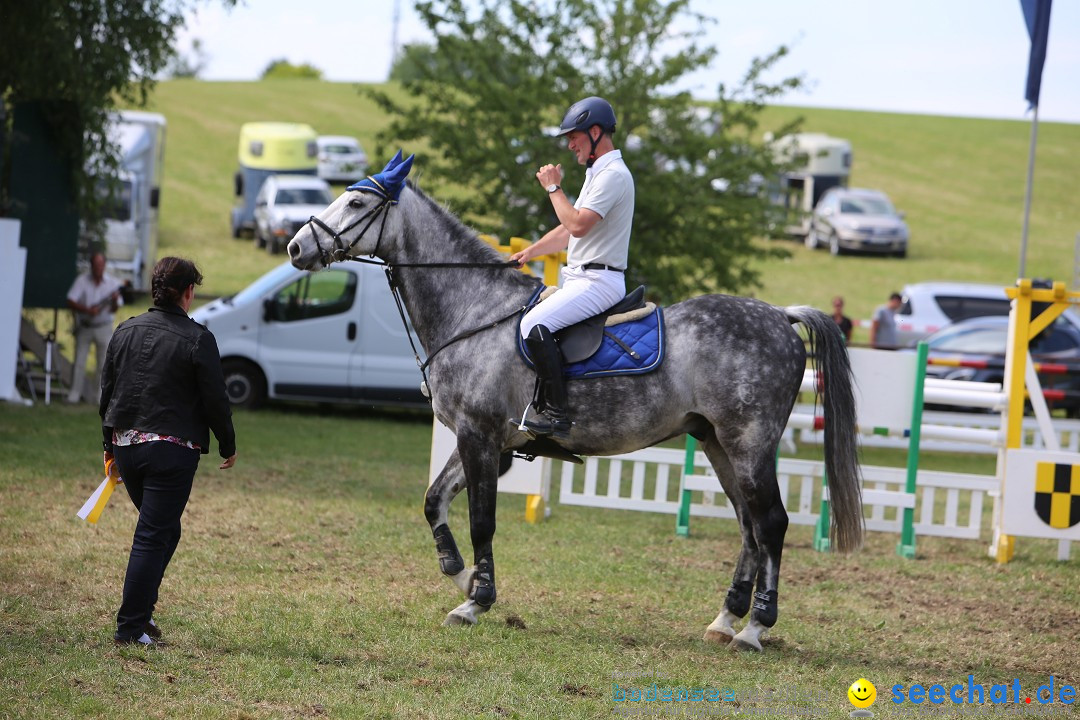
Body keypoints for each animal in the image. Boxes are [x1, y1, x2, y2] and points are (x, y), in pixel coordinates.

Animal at [287, 153, 859, 651]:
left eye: (356, 203)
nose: (295, 248)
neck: (474, 311)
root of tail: (781, 317)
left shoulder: (479, 435)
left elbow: (481, 519)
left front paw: (477, 600)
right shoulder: (481, 438)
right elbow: (434, 501)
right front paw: (460, 576)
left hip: (749, 443)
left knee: (771, 524)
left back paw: (754, 628)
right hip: (717, 442)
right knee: (747, 524)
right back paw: (725, 619)